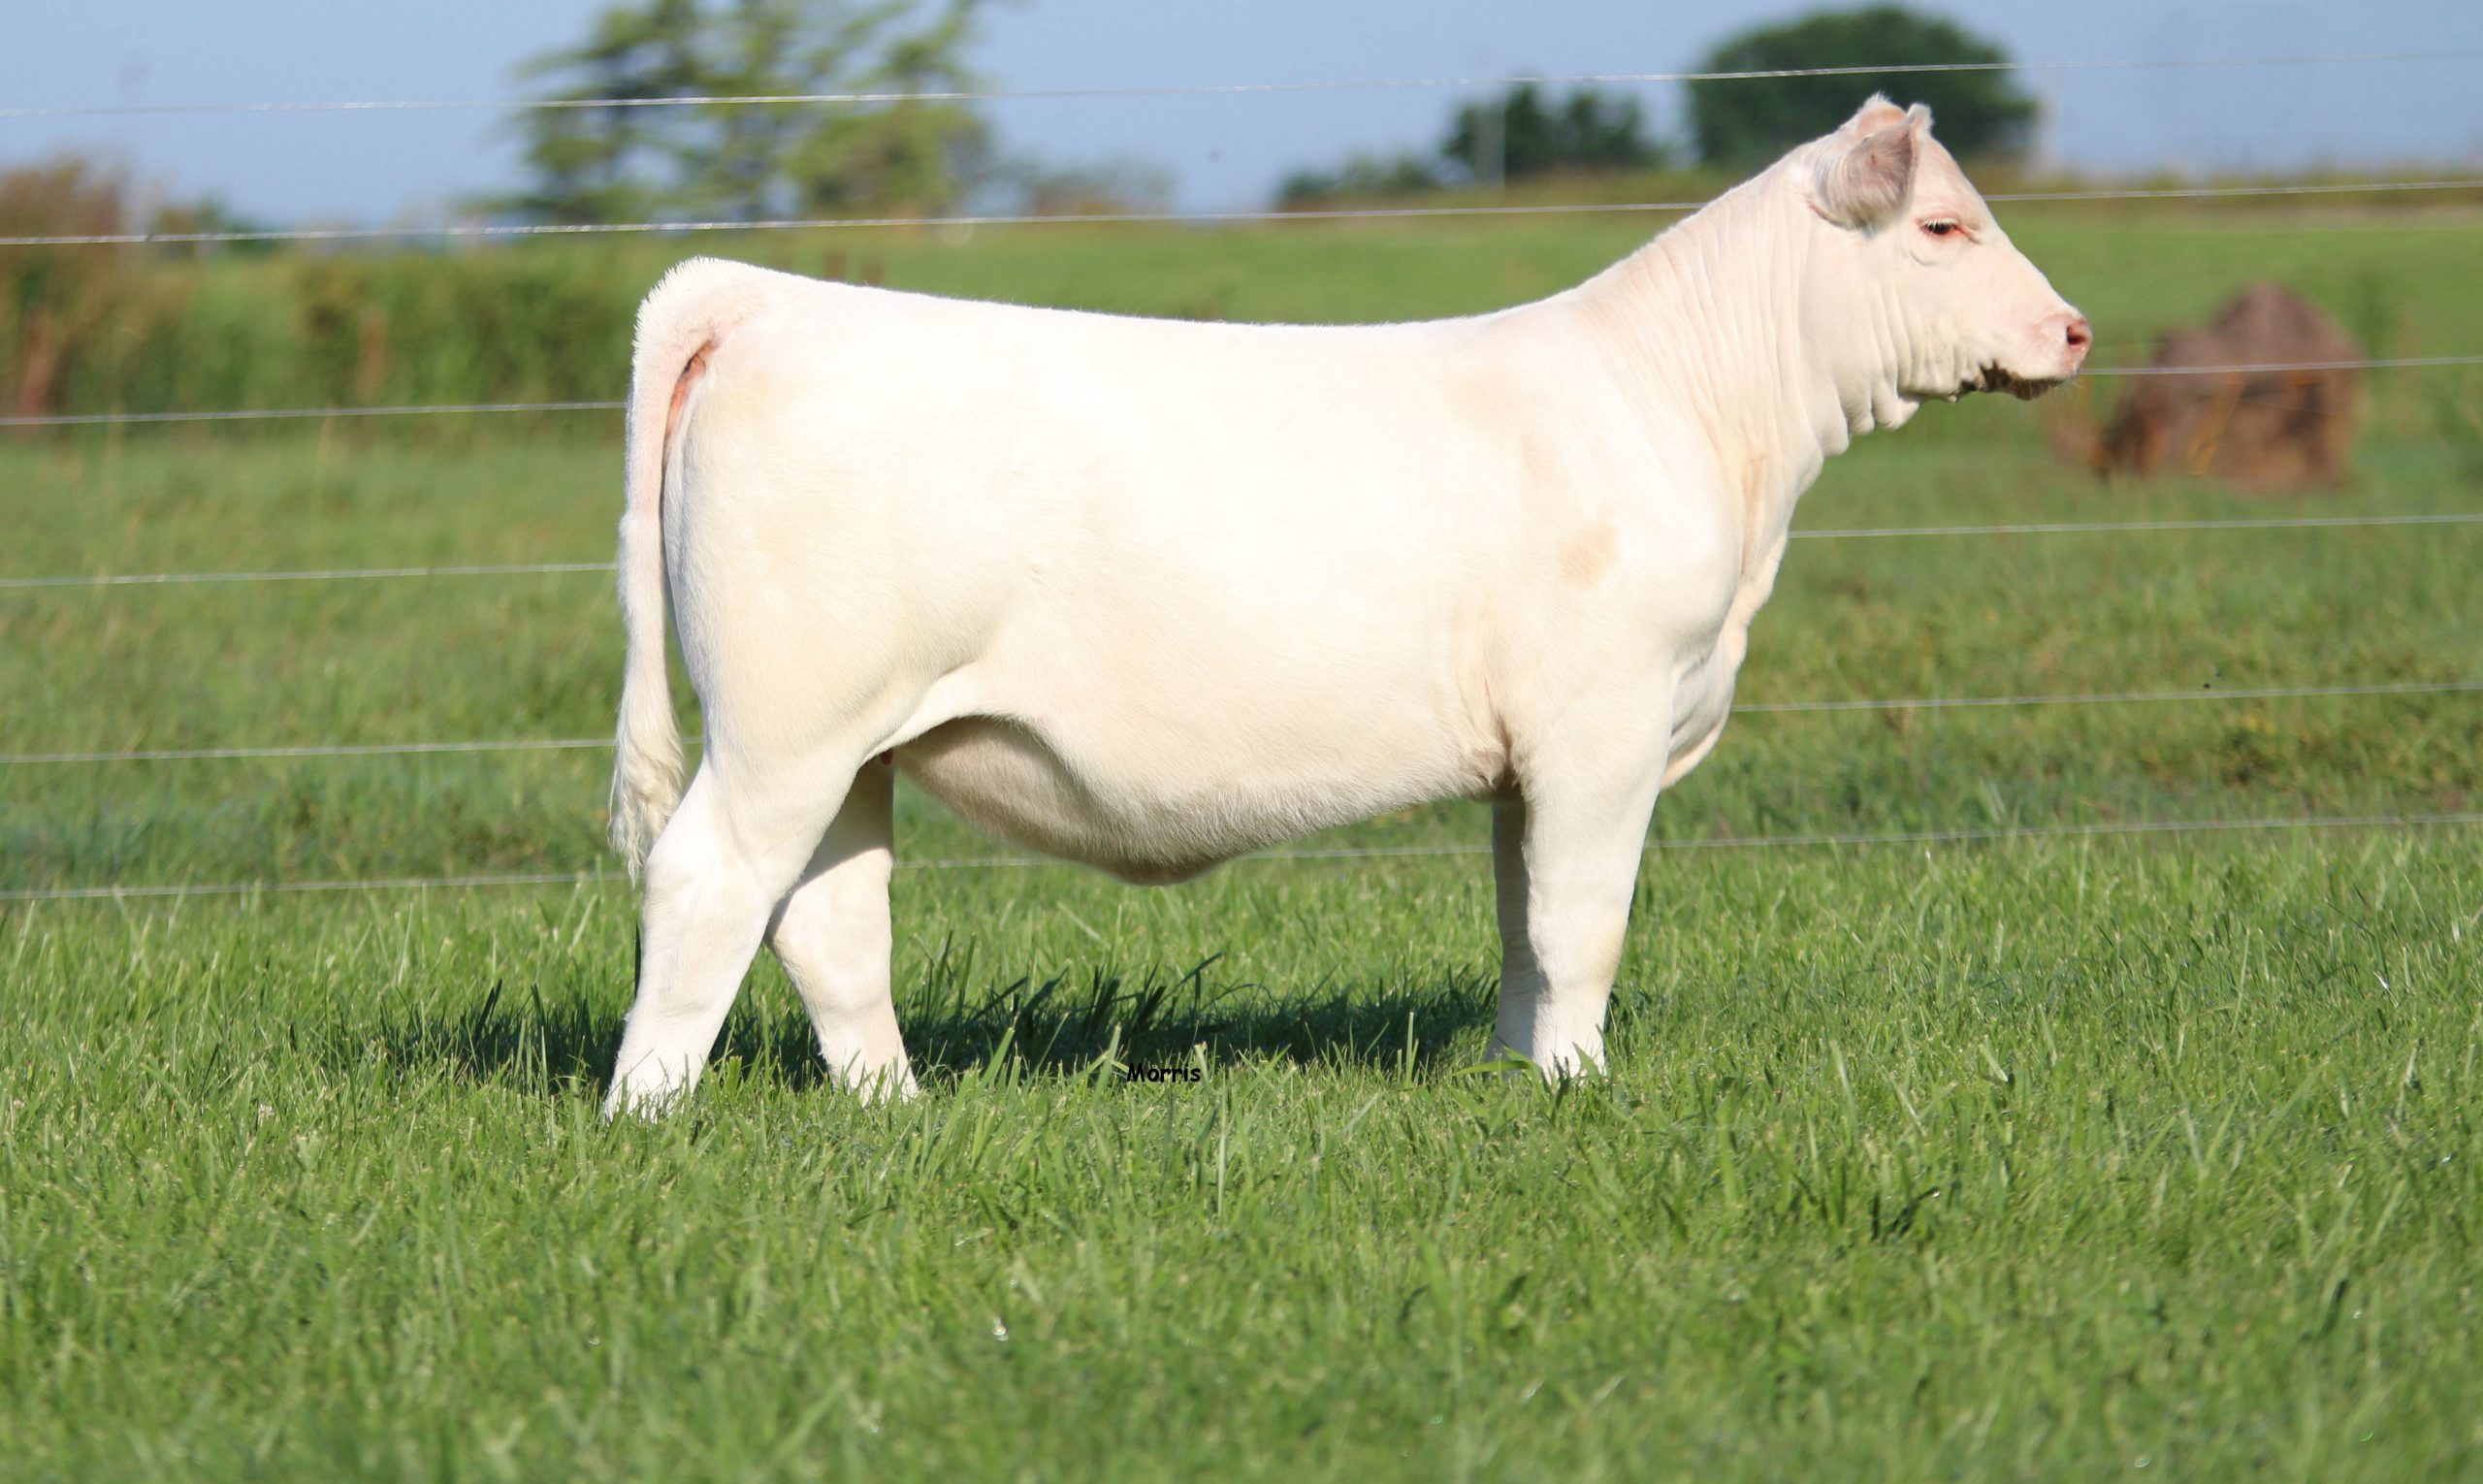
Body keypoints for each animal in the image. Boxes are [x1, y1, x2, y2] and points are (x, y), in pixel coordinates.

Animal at [600, 97, 2090, 1117]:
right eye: (1945, 225)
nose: (2074, 331)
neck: (1697, 417)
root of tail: (763, 297)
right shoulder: (1603, 721)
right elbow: (1583, 922)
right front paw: (1582, 1089)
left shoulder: (1531, 760)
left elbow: (1522, 926)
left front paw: (1522, 1076)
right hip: (788, 724)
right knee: (705, 879)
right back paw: (648, 1112)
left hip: (850, 740)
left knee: (830, 917)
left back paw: (893, 1109)